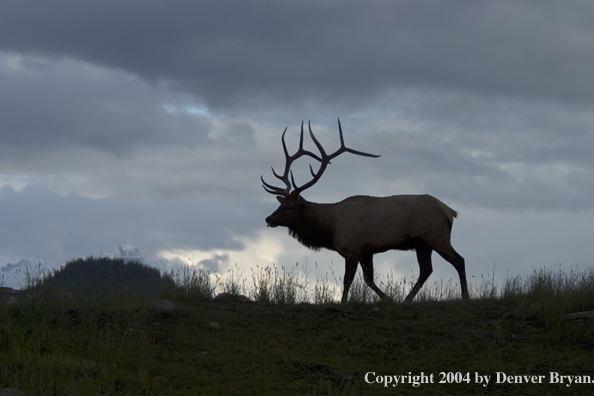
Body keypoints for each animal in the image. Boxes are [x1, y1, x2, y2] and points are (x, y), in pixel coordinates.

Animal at [262, 118, 470, 304]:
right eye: (280, 204)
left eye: (290, 207)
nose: (268, 218)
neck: (331, 229)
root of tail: (450, 211)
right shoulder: (367, 250)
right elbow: (369, 280)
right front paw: (389, 300)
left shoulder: (352, 249)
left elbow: (348, 281)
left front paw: (344, 302)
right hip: (422, 243)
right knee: (426, 270)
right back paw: (406, 300)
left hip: (436, 235)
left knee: (458, 260)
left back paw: (465, 296)